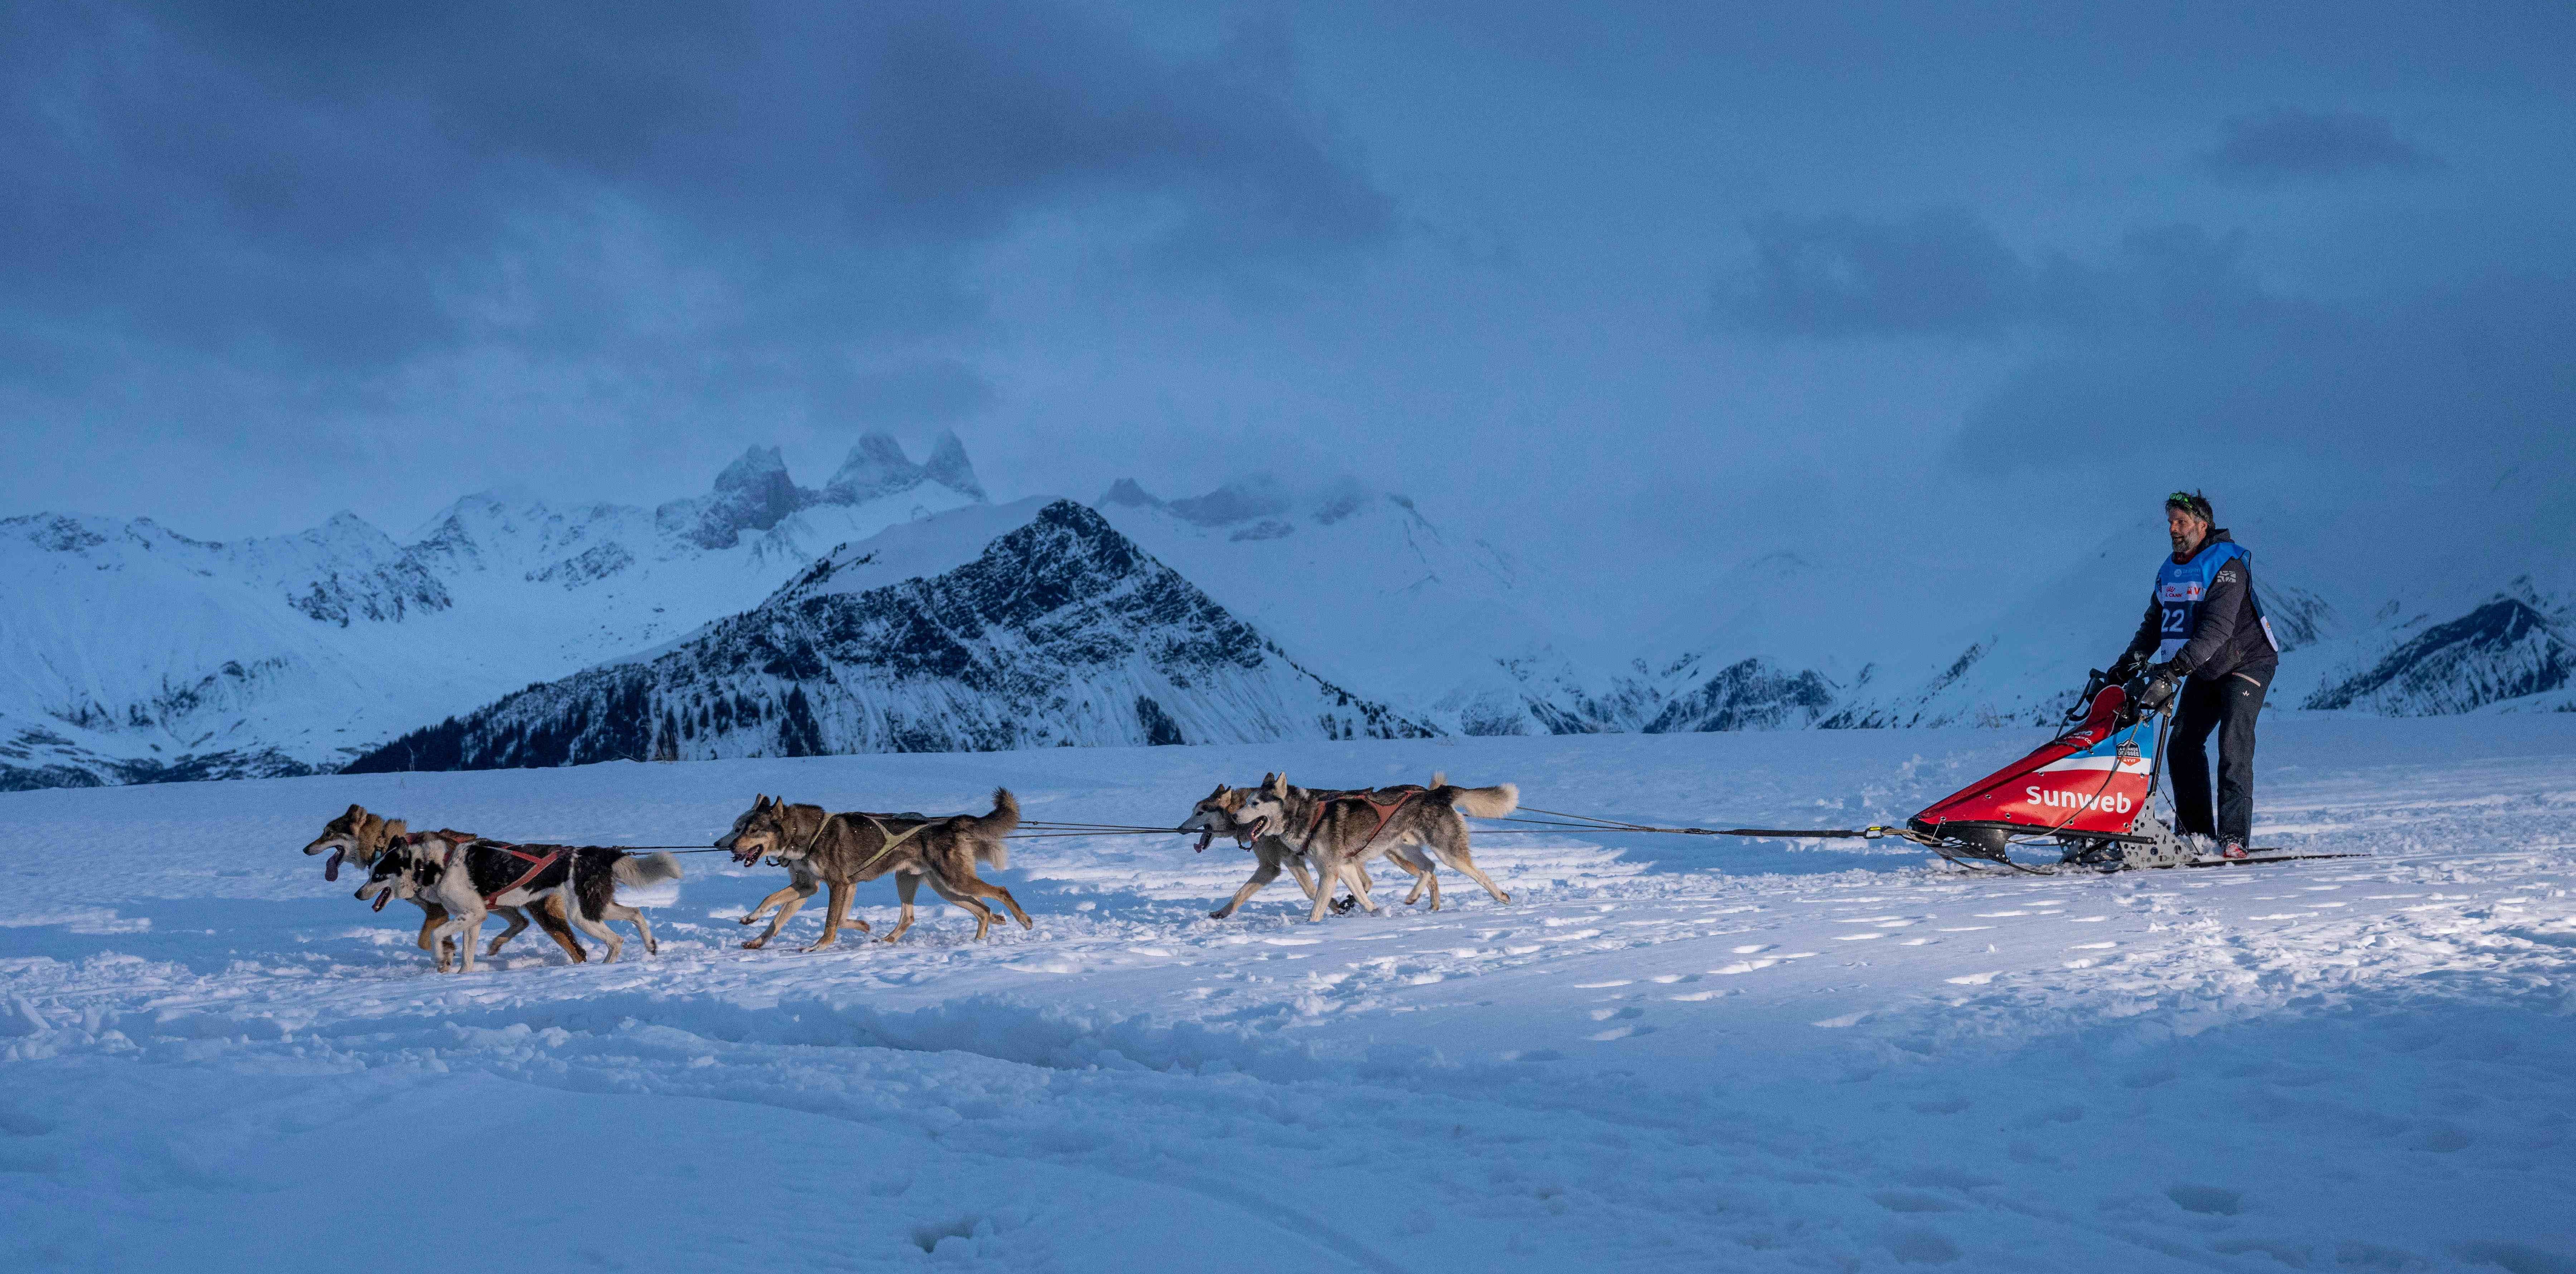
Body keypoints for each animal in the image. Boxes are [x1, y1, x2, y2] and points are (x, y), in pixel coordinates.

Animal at [299, 808, 587, 967]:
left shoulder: (438, 911)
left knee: (576, 949)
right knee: (520, 922)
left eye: (327, 833)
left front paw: (445, 956)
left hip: (542, 913)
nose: (305, 849)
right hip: (497, 904)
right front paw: (449, 953)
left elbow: (426, 940)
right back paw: (496, 945)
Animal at [368, 829, 685, 978]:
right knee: (636, 912)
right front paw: (462, 973)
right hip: (595, 907)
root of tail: (595, 852)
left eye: (378, 875)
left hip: (581, 915)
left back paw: (602, 967)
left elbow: (436, 935)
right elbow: (467, 954)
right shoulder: (474, 917)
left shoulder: (474, 913)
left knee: (616, 940)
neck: (436, 865)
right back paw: (650, 945)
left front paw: (440, 960)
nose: (360, 893)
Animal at [711, 792, 1030, 952]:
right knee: (972, 909)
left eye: (751, 830)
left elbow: (831, 921)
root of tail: (949, 823)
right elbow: (773, 909)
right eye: (740, 828)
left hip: (954, 880)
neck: (804, 834)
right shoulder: (808, 887)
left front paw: (819, 946)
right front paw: (753, 928)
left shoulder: (838, 884)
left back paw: (1021, 920)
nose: (728, 846)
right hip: (937, 886)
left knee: (1000, 892)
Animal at [1226, 772, 1504, 921]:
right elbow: (1361, 896)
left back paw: (1502, 897)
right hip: (1402, 849)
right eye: (1247, 802)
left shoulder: (1330, 872)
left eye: (1255, 803)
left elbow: (1318, 907)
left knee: (1477, 874)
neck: (1308, 816)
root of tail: (1436, 793)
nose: (1234, 816)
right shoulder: (1346, 867)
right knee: (1429, 867)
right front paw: (1376, 912)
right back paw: (1416, 897)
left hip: (1447, 851)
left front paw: (1311, 926)